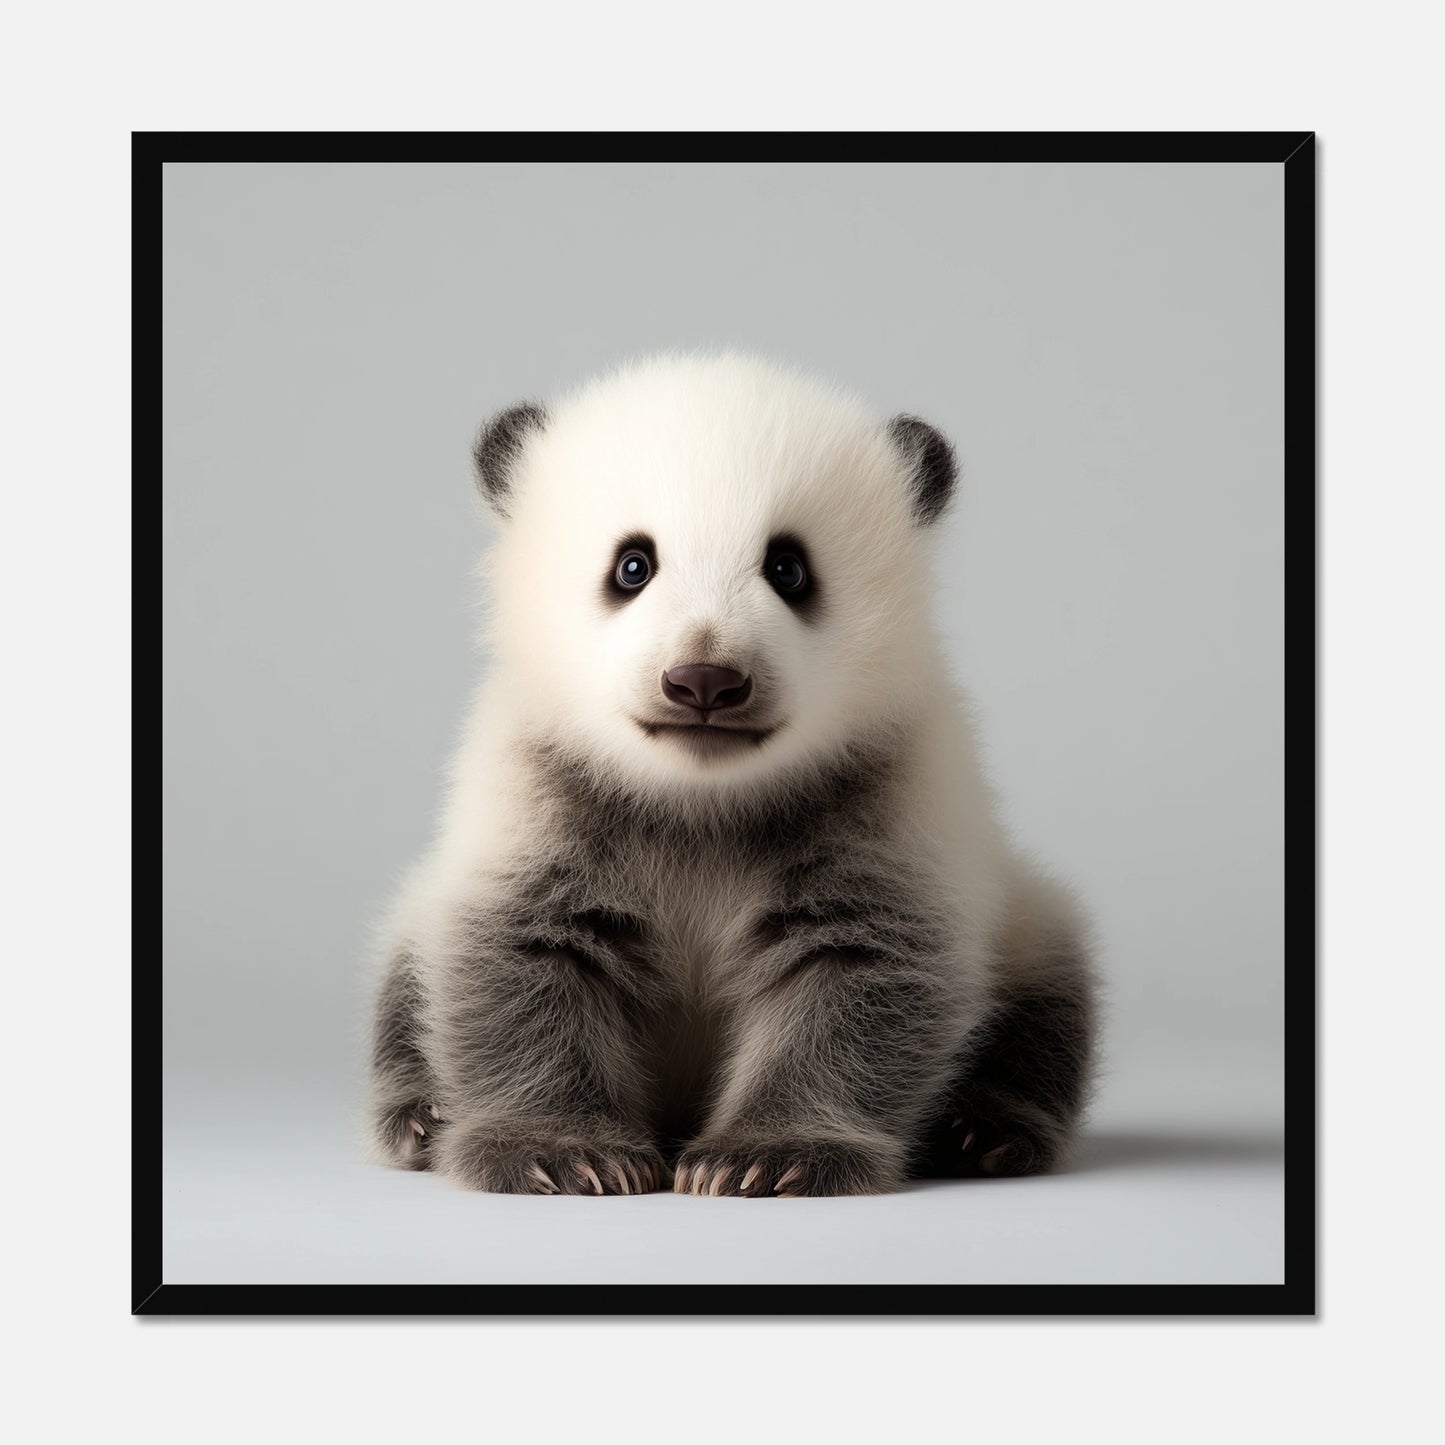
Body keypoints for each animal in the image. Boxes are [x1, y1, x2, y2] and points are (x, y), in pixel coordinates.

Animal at [369, 353, 1096, 1197]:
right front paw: (560, 1151)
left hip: (1023, 916)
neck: (701, 798)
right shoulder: (538, 787)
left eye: (788, 567)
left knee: (1046, 1003)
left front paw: (767, 1155)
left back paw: (983, 1130)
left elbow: (860, 973)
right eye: (633, 565)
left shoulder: (891, 790)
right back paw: (420, 1116)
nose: (704, 681)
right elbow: (522, 958)